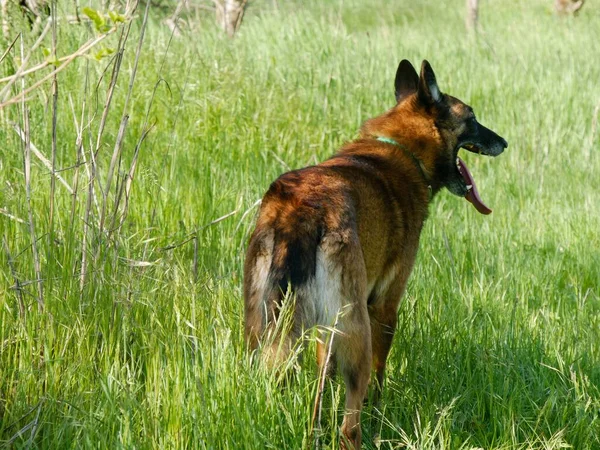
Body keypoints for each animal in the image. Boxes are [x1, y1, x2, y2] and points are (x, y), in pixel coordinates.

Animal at [243, 60, 506, 450]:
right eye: (471, 118)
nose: (503, 142)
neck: (403, 148)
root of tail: (301, 210)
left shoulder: (325, 332)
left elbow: (324, 382)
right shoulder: (384, 306)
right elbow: (379, 381)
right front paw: (380, 413)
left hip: (263, 331)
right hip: (358, 333)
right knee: (349, 427)